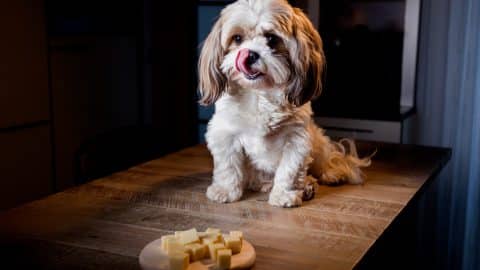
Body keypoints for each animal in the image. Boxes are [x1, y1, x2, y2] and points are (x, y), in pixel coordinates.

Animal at [197, 0, 370, 209]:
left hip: (317, 141)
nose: (250, 54)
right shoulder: (225, 134)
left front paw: (284, 195)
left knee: (325, 161)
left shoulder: (296, 139)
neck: (260, 94)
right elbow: (228, 166)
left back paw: (326, 176)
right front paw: (225, 191)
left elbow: (289, 170)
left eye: (271, 39)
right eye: (237, 38)